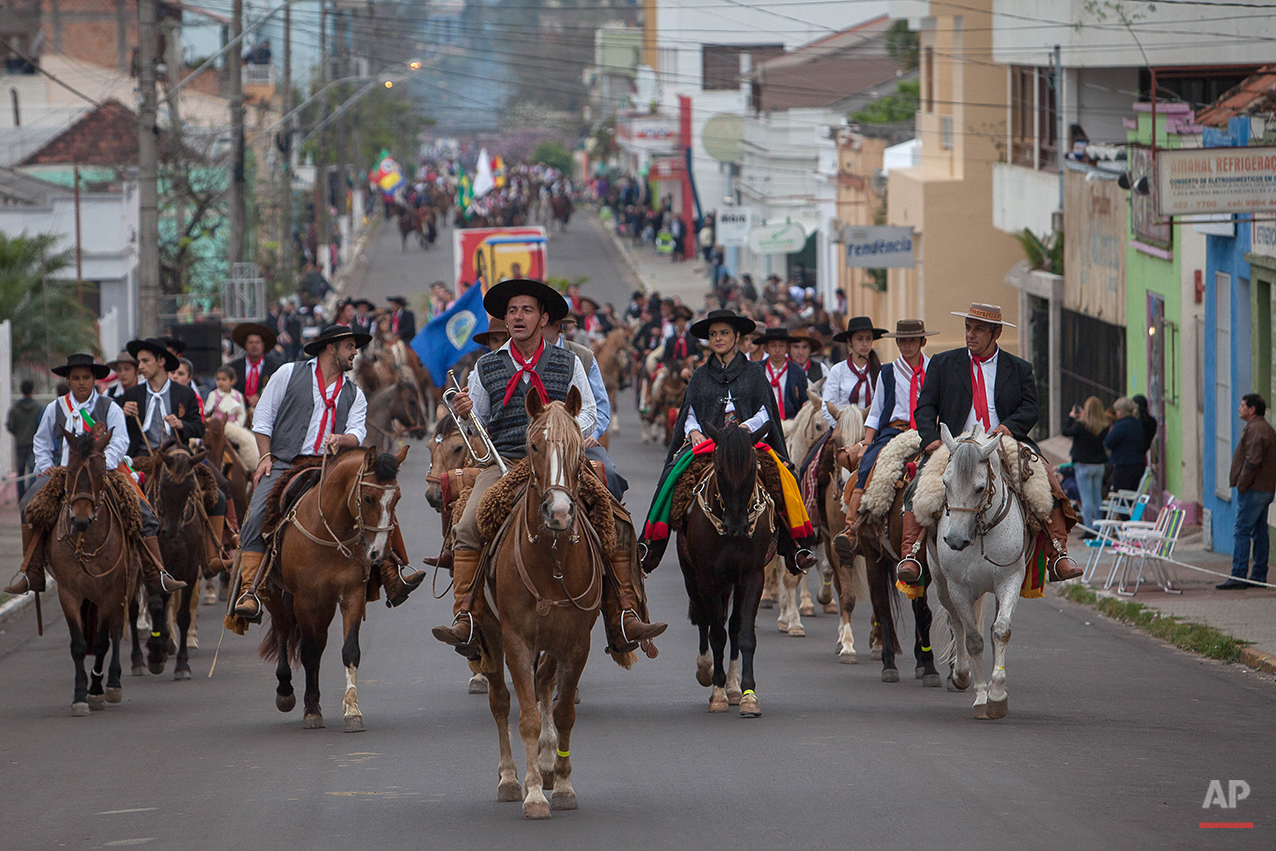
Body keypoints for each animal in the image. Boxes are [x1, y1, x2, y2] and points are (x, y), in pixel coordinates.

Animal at [43, 428, 142, 714]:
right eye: (70, 469)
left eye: (100, 473)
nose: (81, 519)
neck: (85, 541)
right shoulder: (68, 593)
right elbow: (78, 644)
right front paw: (79, 695)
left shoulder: (111, 591)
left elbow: (102, 641)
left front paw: (97, 690)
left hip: (123, 588)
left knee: (116, 632)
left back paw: (113, 682)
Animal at [253, 446, 403, 734]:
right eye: (368, 498)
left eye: (397, 498)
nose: (378, 553)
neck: (330, 529)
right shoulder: (303, 599)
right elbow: (308, 651)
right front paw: (311, 710)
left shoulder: (351, 595)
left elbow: (350, 650)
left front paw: (352, 710)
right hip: (277, 595)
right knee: (282, 630)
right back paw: (285, 691)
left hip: (324, 605)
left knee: (319, 641)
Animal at [474, 390, 602, 821]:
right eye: (533, 446)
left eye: (579, 448)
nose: (559, 512)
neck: (552, 560)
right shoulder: (516, 640)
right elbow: (526, 716)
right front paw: (532, 794)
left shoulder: (577, 643)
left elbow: (563, 713)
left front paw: (561, 784)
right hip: (489, 632)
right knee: (499, 701)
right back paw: (509, 778)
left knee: (545, 683)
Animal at [678, 423, 775, 714]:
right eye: (720, 470)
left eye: (752, 470)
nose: (737, 527)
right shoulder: (707, 578)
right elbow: (717, 634)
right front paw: (717, 692)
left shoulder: (752, 576)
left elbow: (743, 634)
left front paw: (748, 695)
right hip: (693, 577)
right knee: (705, 620)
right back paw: (707, 672)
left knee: (730, 624)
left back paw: (733, 687)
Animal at [934, 423, 1031, 724]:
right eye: (945, 483)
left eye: (979, 488)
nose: (955, 540)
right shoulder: (957, 588)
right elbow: (973, 640)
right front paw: (980, 698)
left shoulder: (1010, 580)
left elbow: (1000, 631)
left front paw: (997, 696)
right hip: (942, 586)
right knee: (956, 623)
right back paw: (960, 675)